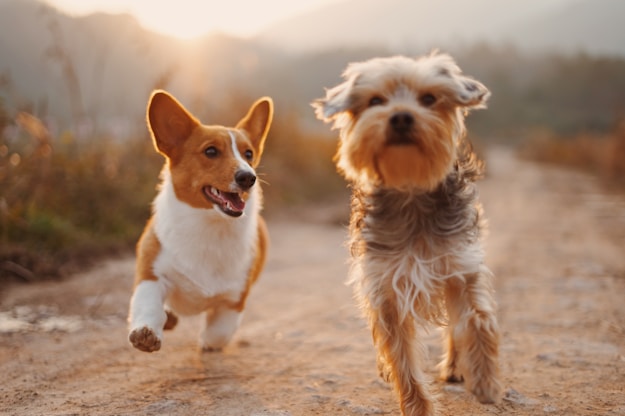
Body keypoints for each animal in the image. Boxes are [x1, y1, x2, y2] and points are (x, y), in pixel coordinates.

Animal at [128, 90, 272, 352]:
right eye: (211, 151)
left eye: (248, 154)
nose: (249, 177)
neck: (209, 226)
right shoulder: (151, 274)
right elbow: (148, 305)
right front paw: (146, 333)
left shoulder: (234, 300)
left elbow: (218, 333)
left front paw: (207, 342)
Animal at [312, 52, 502, 416]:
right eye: (375, 101)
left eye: (428, 99)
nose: (401, 116)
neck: (411, 189)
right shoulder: (385, 286)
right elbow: (401, 356)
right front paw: (417, 406)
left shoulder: (460, 266)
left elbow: (477, 319)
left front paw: (485, 380)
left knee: (455, 326)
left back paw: (457, 366)